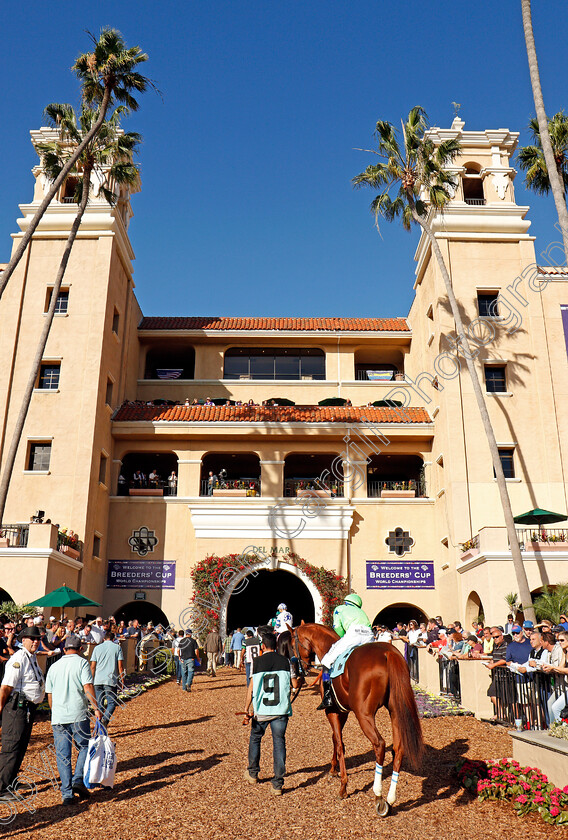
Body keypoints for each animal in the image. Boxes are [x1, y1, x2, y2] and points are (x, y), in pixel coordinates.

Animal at [288, 624, 422, 812]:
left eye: (293, 645)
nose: (297, 668)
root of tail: (388, 653)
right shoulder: (343, 711)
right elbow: (335, 739)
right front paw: (333, 768)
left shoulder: (331, 711)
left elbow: (339, 743)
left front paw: (343, 786)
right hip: (395, 710)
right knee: (399, 748)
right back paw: (390, 798)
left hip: (364, 714)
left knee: (379, 744)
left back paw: (378, 795)